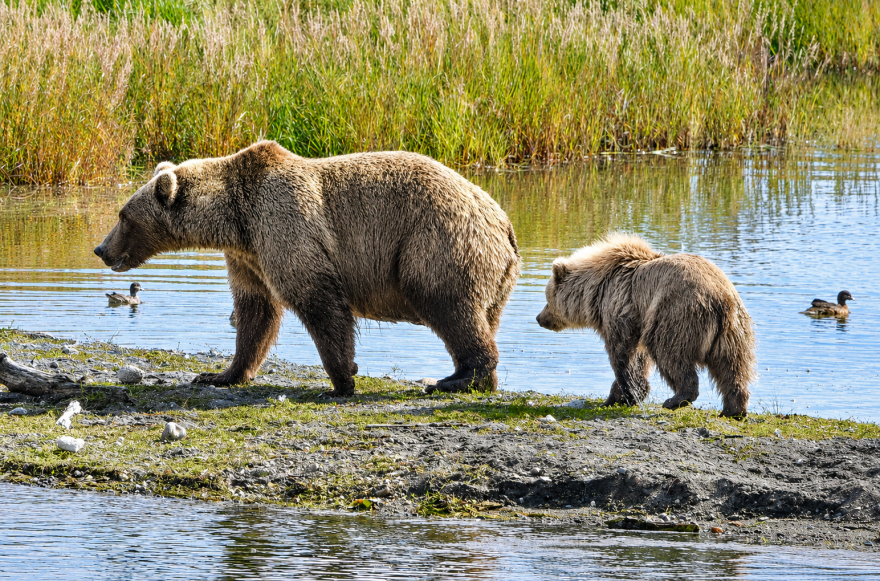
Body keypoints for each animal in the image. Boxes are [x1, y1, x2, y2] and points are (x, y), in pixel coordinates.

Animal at [94, 141, 521, 397]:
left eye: (123, 216)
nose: (100, 249)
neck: (235, 220)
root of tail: (504, 222)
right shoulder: (249, 256)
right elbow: (256, 314)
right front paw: (221, 374)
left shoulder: (286, 224)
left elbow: (317, 300)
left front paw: (342, 379)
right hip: (491, 272)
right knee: (480, 316)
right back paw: (477, 381)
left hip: (437, 242)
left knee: (447, 305)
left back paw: (456, 378)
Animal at [535, 233, 756, 417]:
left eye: (547, 298)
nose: (539, 317)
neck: (598, 290)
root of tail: (721, 299)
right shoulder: (640, 319)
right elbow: (639, 359)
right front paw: (617, 396)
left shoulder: (622, 308)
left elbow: (623, 355)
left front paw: (629, 394)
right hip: (733, 331)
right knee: (733, 366)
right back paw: (733, 410)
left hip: (677, 314)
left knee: (670, 354)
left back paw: (676, 399)